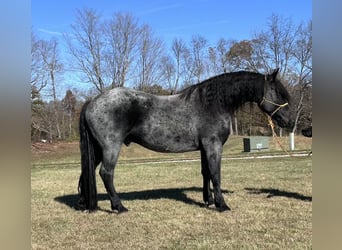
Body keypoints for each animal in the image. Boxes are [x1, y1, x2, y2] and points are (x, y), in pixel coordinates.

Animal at [78, 68, 294, 213]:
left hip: (97, 150)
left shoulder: (204, 148)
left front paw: (208, 200)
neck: (213, 104)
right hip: (110, 147)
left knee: (86, 173)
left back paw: (85, 204)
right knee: (106, 173)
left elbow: (206, 173)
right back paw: (119, 206)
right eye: (278, 92)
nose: (290, 121)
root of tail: (93, 101)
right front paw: (221, 204)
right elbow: (216, 174)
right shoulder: (213, 145)